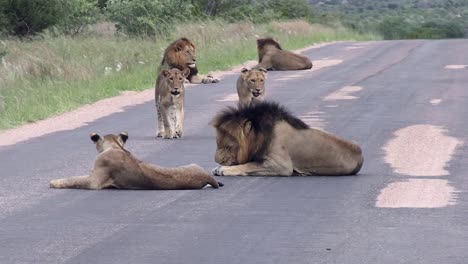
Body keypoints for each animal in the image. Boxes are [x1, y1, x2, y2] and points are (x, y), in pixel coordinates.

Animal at [49, 132, 223, 190]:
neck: (115, 146)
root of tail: (208, 177)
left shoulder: (94, 181)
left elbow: (74, 179)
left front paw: (53, 182)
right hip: (192, 163)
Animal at [211, 102, 362, 176]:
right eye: (217, 143)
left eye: (228, 147)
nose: (218, 160)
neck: (261, 135)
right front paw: (217, 167)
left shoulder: (280, 165)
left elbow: (248, 165)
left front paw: (223, 169)